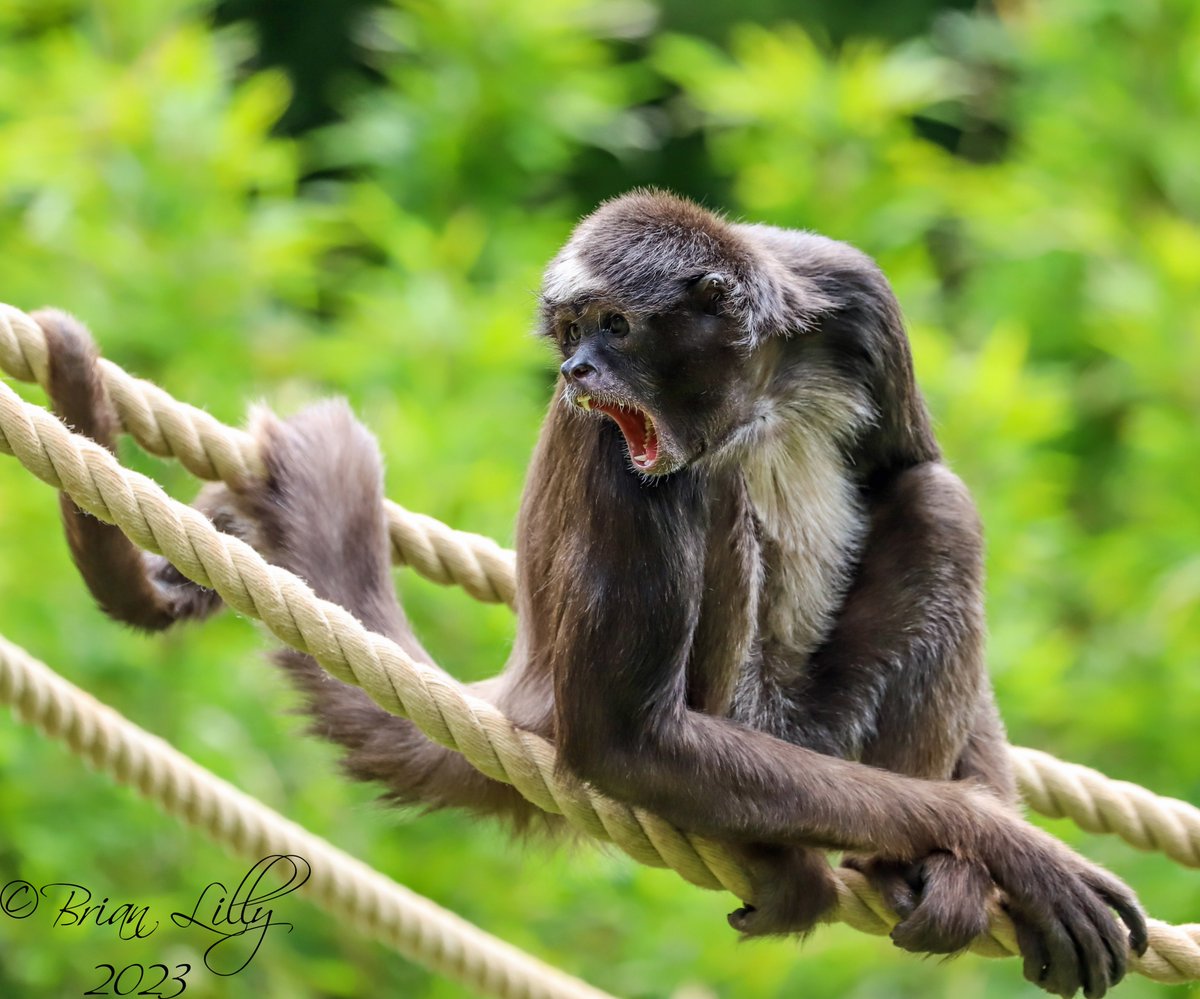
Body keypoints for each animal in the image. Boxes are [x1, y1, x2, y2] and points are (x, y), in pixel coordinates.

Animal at [35, 190, 1142, 994]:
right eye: (571, 327)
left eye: (615, 324)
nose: (576, 368)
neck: (754, 392)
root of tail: (523, 688)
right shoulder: (615, 443)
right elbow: (625, 742)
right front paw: (1006, 843)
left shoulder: (849, 292)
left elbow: (912, 465)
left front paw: (980, 843)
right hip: (757, 714)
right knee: (720, 492)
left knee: (935, 500)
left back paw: (916, 871)